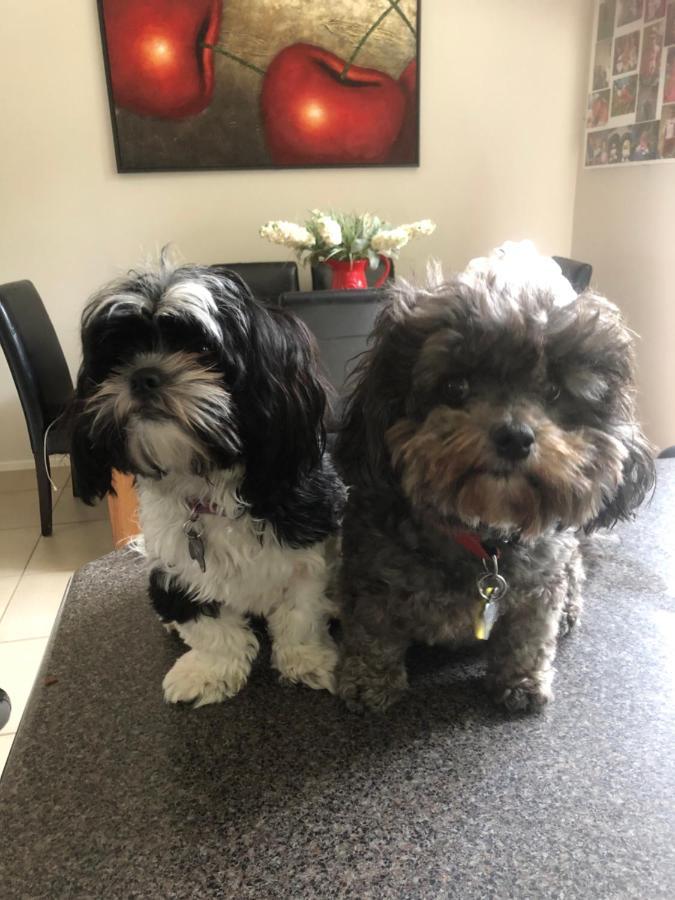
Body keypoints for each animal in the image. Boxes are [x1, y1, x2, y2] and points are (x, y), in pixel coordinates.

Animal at [72, 256, 346, 708]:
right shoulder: (179, 569)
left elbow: (302, 614)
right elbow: (212, 630)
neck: (208, 486)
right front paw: (209, 672)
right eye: (121, 354)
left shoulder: (308, 553)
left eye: (202, 350)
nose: (143, 374)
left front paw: (308, 661)